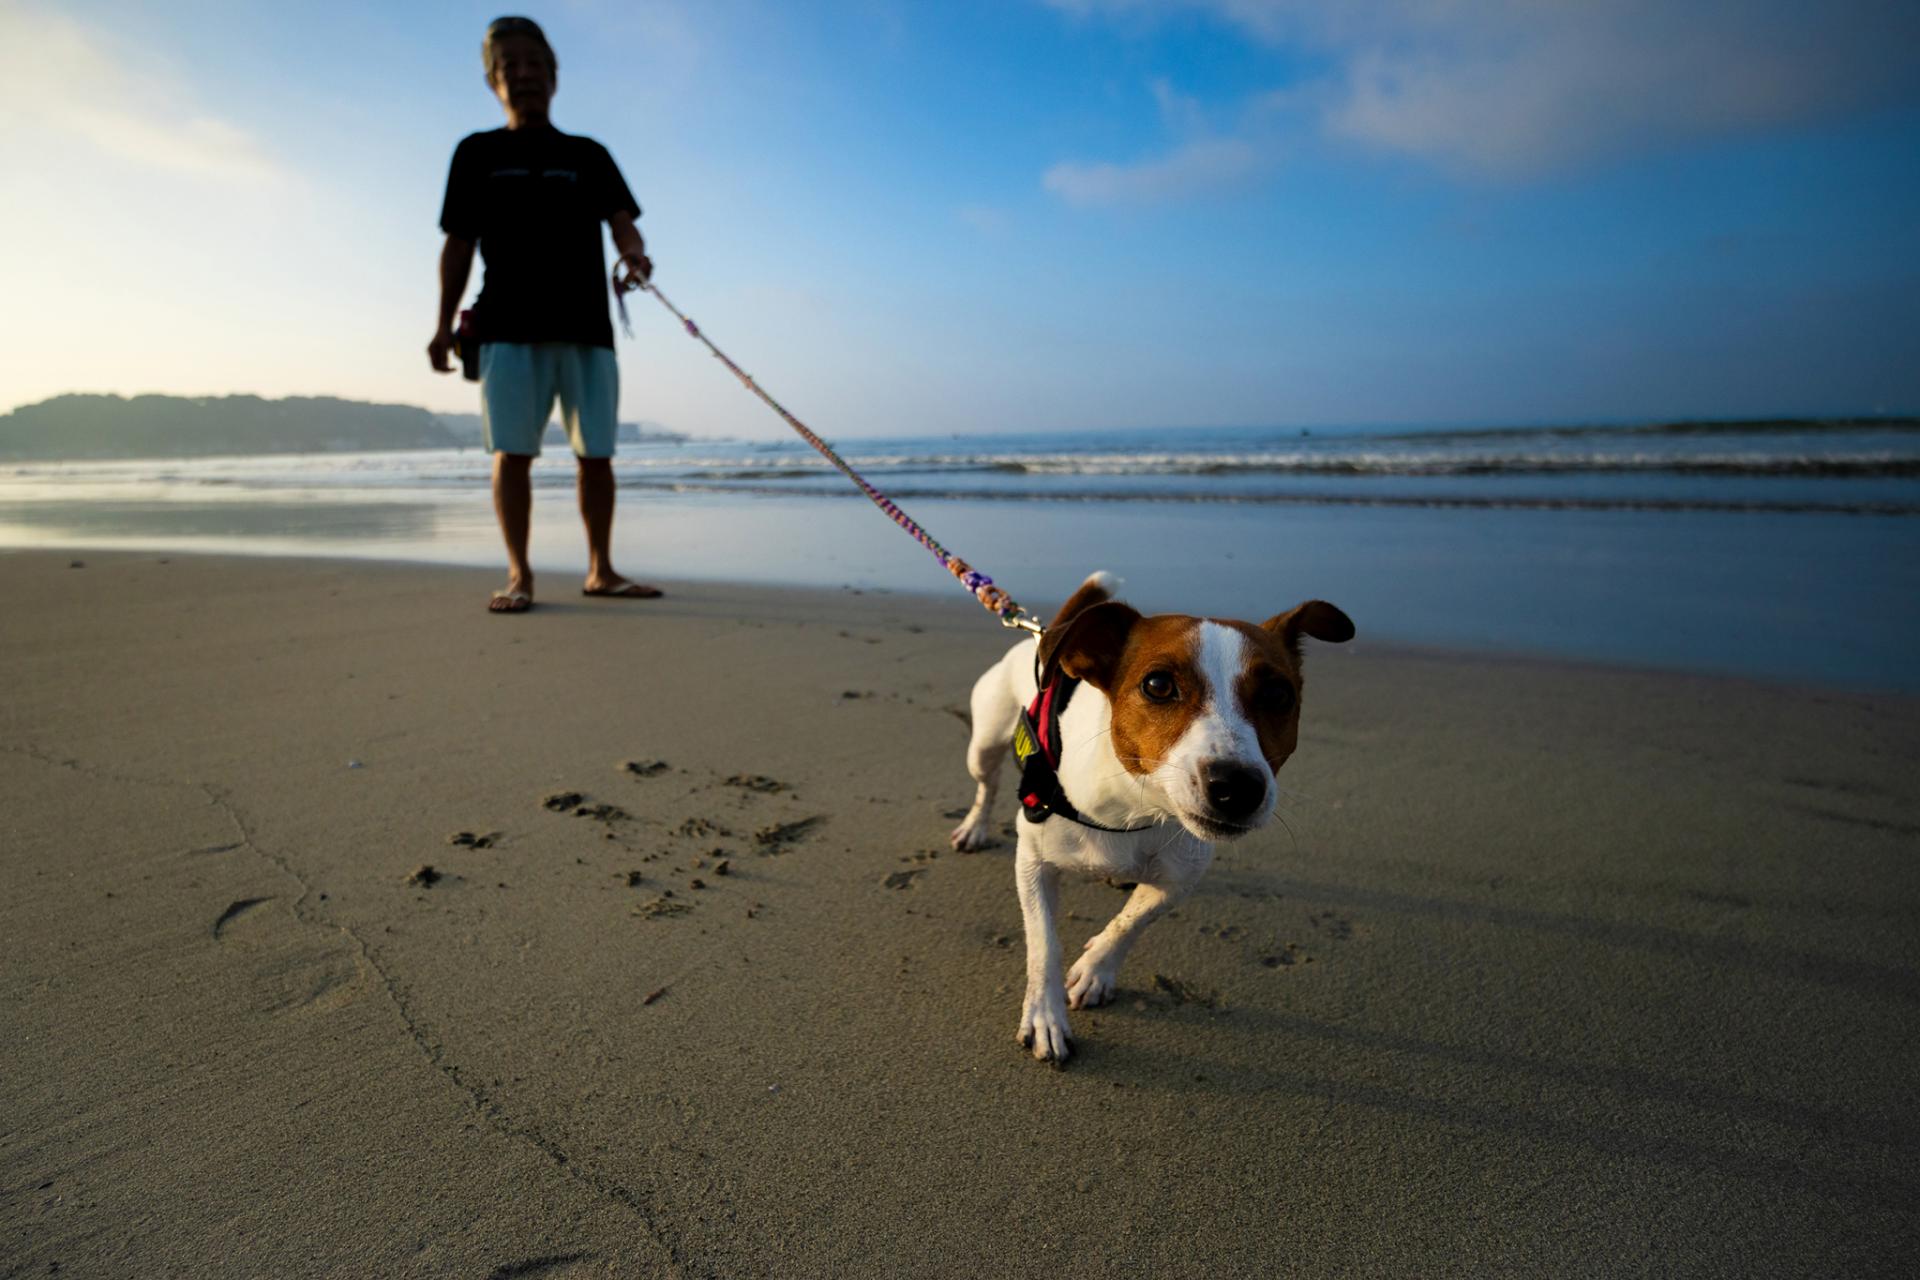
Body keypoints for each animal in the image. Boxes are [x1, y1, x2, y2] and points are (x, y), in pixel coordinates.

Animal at [948, 571, 1351, 1059]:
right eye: (1158, 685)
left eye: (1278, 694)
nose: (1237, 787)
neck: (1135, 806)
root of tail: (1041, 637)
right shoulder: (1033, 861)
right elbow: (1044, 943)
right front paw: (1045, 1016)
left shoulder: (1181, 877)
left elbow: (1132, 921)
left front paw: (1096, 970)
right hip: (985, 742)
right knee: (986, 785)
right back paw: (975, 827)